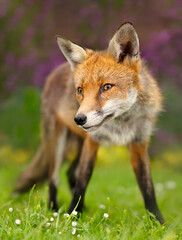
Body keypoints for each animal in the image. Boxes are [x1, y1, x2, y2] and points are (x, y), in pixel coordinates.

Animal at [15, 22, 164, 223]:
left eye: (106, 87)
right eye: (80, 90)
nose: (79, 119)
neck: (121, 122)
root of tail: (57, 70)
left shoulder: (139, 142)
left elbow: (148, 186)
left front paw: (158, 222)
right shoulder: (93, 141)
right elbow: (82, 181)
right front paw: (70, 217)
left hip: (78, 142)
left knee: (70, 173)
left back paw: (83, 209)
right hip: (57, 141)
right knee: (54, 178)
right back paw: (53, 210)